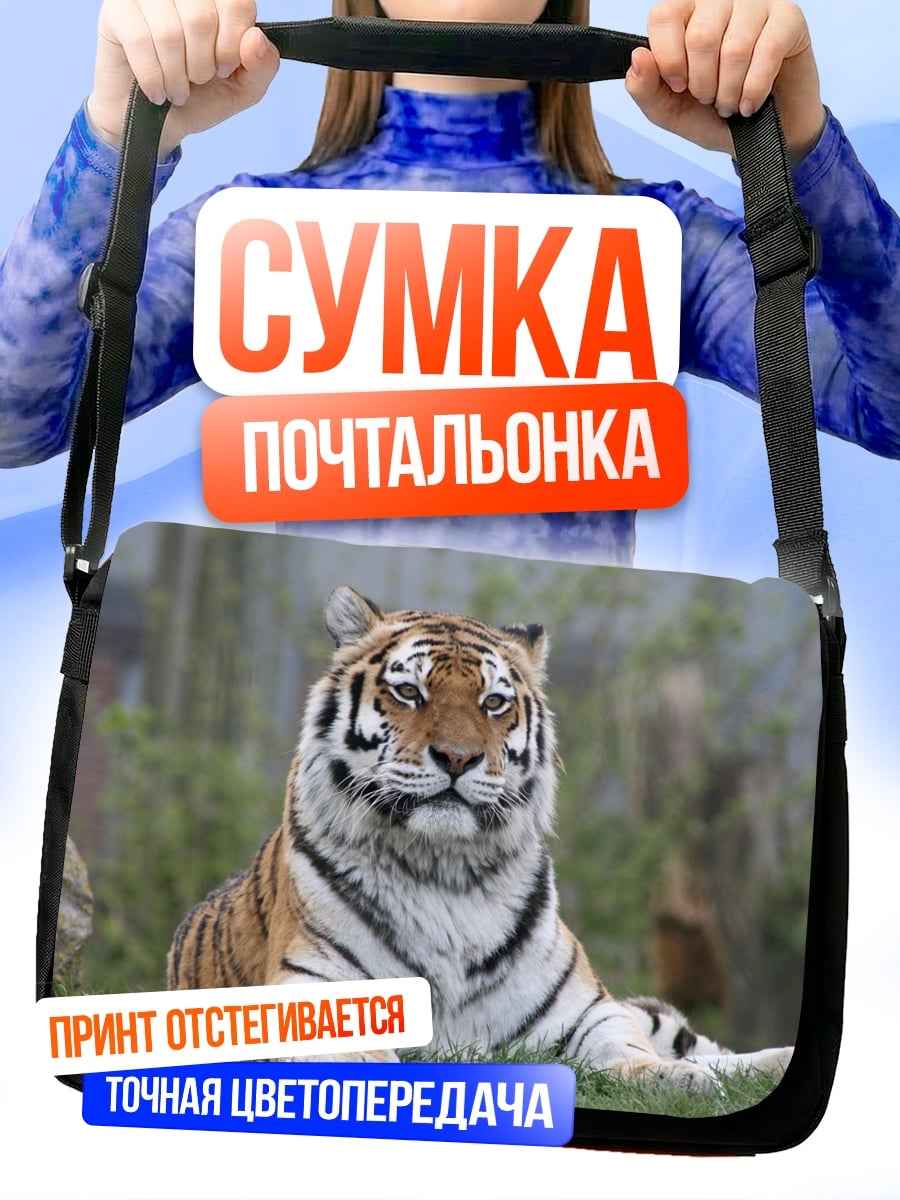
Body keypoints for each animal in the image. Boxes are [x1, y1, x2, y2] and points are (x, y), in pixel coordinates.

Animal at [167, 585, 792, 1090]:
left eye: (493, 702)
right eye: (409, 693)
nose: (457, 757)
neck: (445, 872)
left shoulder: (585, 1010)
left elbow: (630, 1047)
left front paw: (675, 1079)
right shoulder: (316, 993)